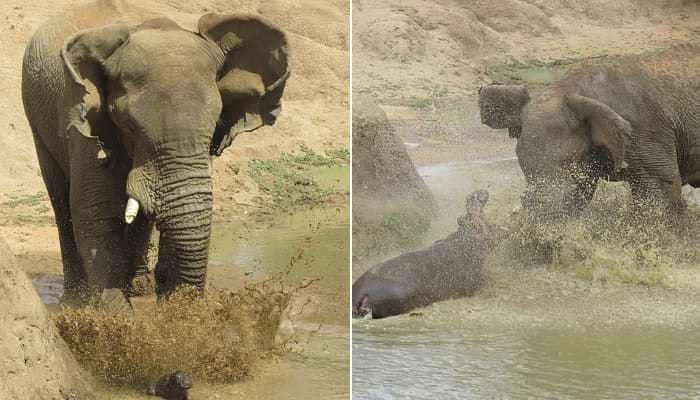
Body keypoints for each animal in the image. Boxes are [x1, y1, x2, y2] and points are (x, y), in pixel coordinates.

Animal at [21, 0, 290, 310]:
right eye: (129, 126)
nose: (165, 285)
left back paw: (139, 286)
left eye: (215, 125)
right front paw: (114, 317)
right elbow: (94, 208)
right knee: (60, 198)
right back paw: (76, 299)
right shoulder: (83, 122)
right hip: (35, 112)